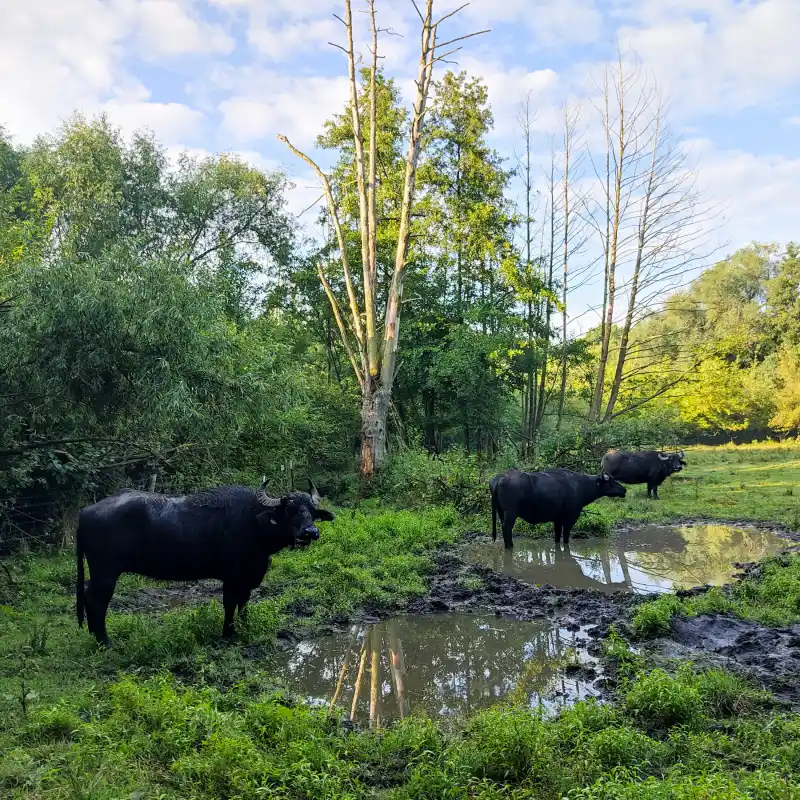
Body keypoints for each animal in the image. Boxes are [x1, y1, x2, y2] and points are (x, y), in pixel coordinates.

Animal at [76, 478, 332, 648]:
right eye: (290, 510)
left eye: (311, 511)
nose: (310, 533)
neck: (254, 521)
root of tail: (85, 511)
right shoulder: (232, 578)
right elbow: (230, 604)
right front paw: (228, 633)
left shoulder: (247, 577)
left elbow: (244, 604)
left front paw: (244, 627)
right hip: (105, 572)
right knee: (97, 602)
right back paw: (105, 643)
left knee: (89, 599)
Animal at [488, 468, 624, 552]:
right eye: (611, 481)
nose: (624, 490)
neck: (580, 486)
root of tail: (501, 478)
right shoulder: (570, 518)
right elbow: (566, 539)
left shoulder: (557, 520)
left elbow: (557, 538)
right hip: (510, 513)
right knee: (506, 528)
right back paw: (509, 546)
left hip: (501, 512)